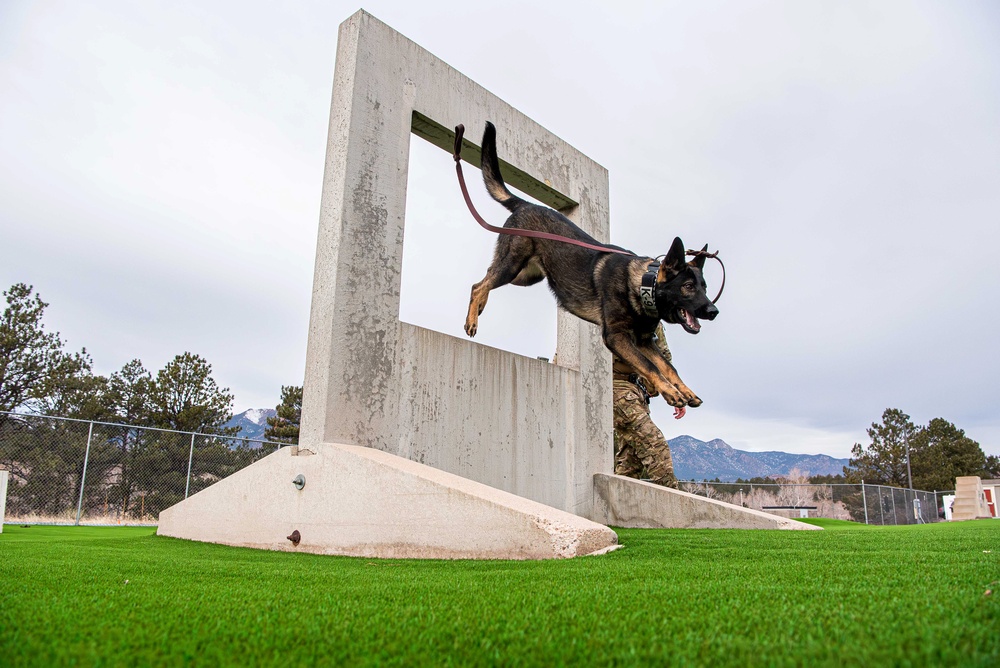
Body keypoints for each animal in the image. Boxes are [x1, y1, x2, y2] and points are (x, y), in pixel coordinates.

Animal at [464, 122, 716, 410]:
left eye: (704, 287)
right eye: (688, 286)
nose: (714, 311)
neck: (643, 285)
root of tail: (527, 204)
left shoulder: (644, 341)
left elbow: (669, 367)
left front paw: (685, 390)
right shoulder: (617, 337)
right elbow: (650, 366)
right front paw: (670, 392)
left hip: (526, 276)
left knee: (483, 279)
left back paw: (479, 306)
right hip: (513, 265)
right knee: (480, 284)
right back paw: (472, 320)